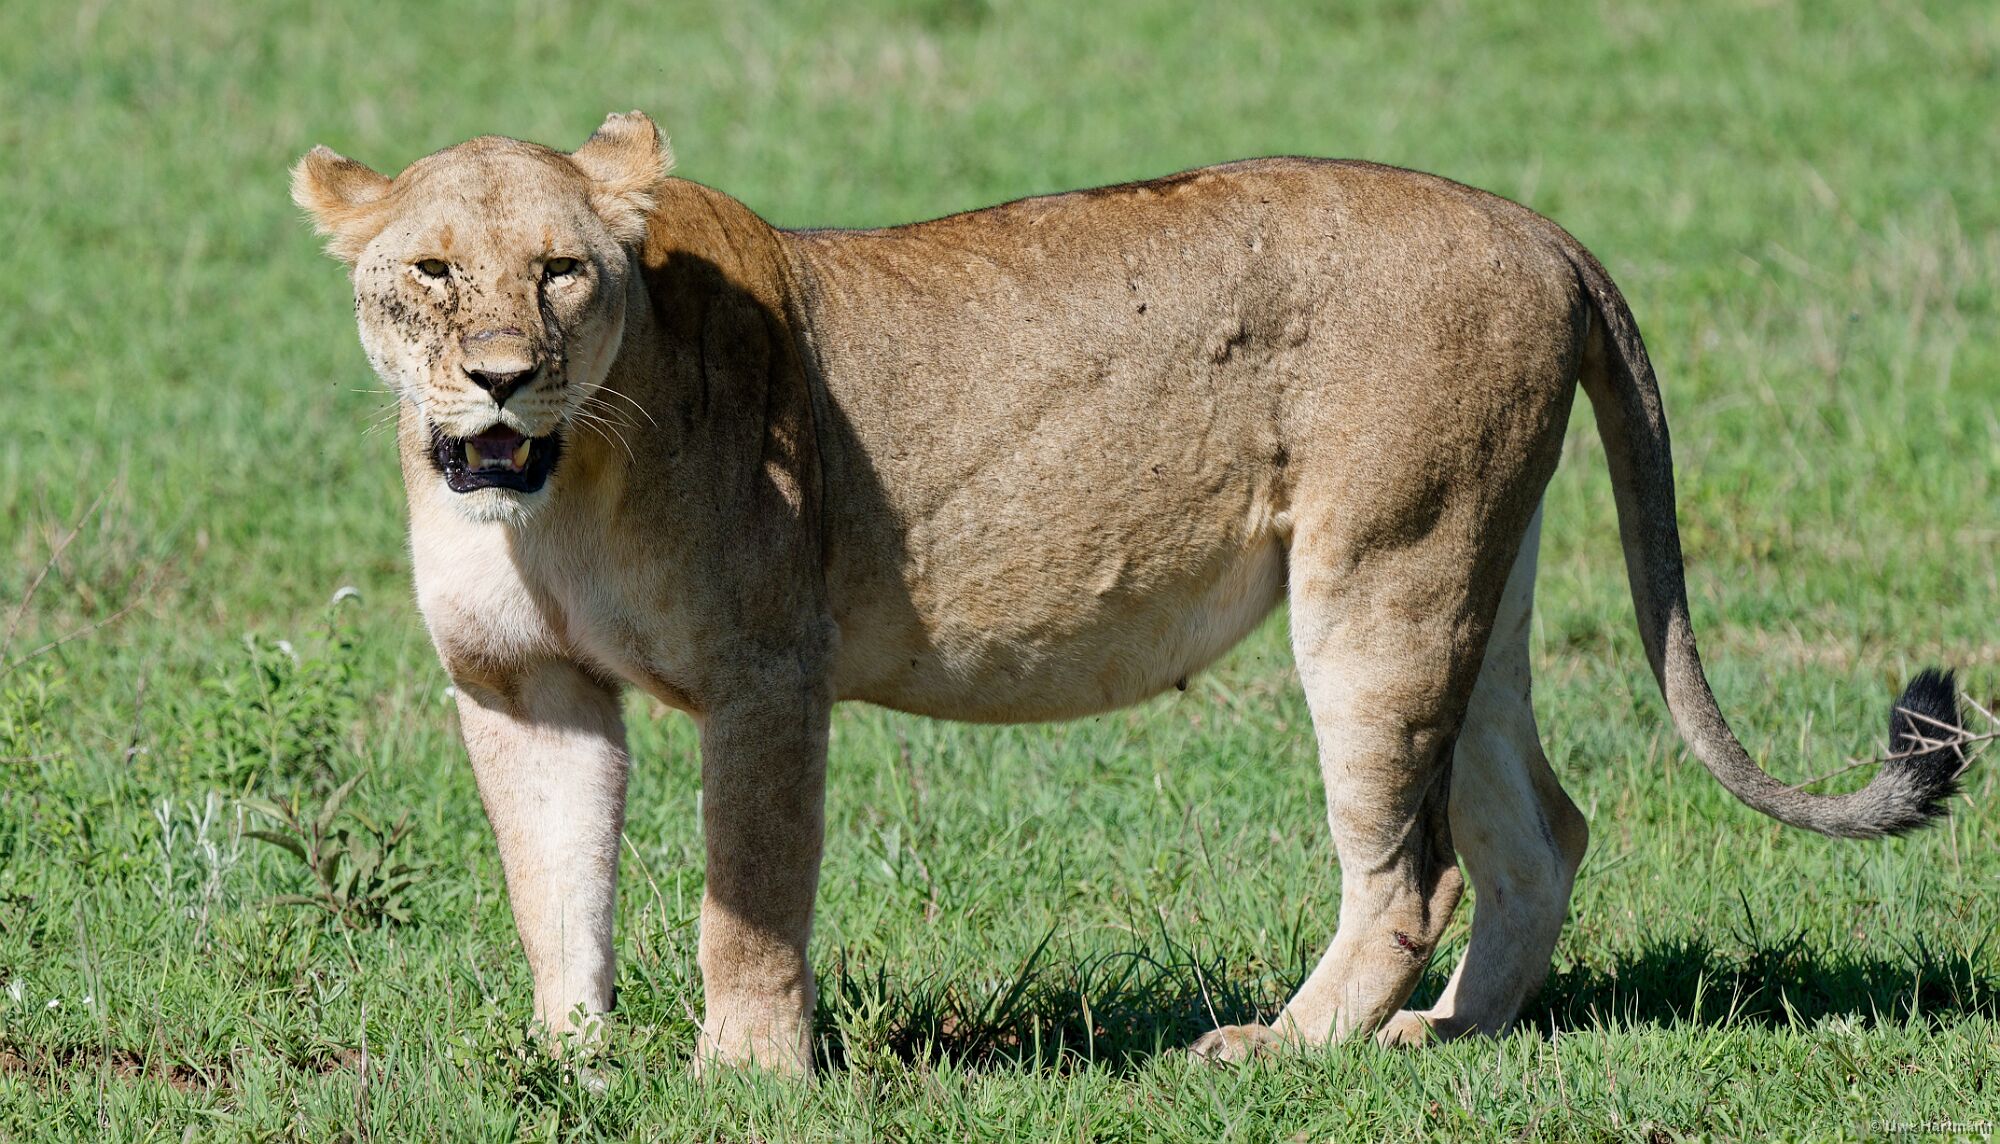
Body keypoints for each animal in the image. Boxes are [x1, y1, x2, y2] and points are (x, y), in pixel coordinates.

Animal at [291, 111, 1967, 1072]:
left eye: (564, 271)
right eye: (432, 272)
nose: (502, 376)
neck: (549, 485)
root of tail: (1537, 224)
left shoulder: (769, 669)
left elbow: (746, 899)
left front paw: (743, 1078)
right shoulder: (523, 685)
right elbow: (554, 881)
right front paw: (572, 1061)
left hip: (1382, 577)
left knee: (1411, 870)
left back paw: (1290, 1051)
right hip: (1475, 574)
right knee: (1538, 832)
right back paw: (1439, 1042)